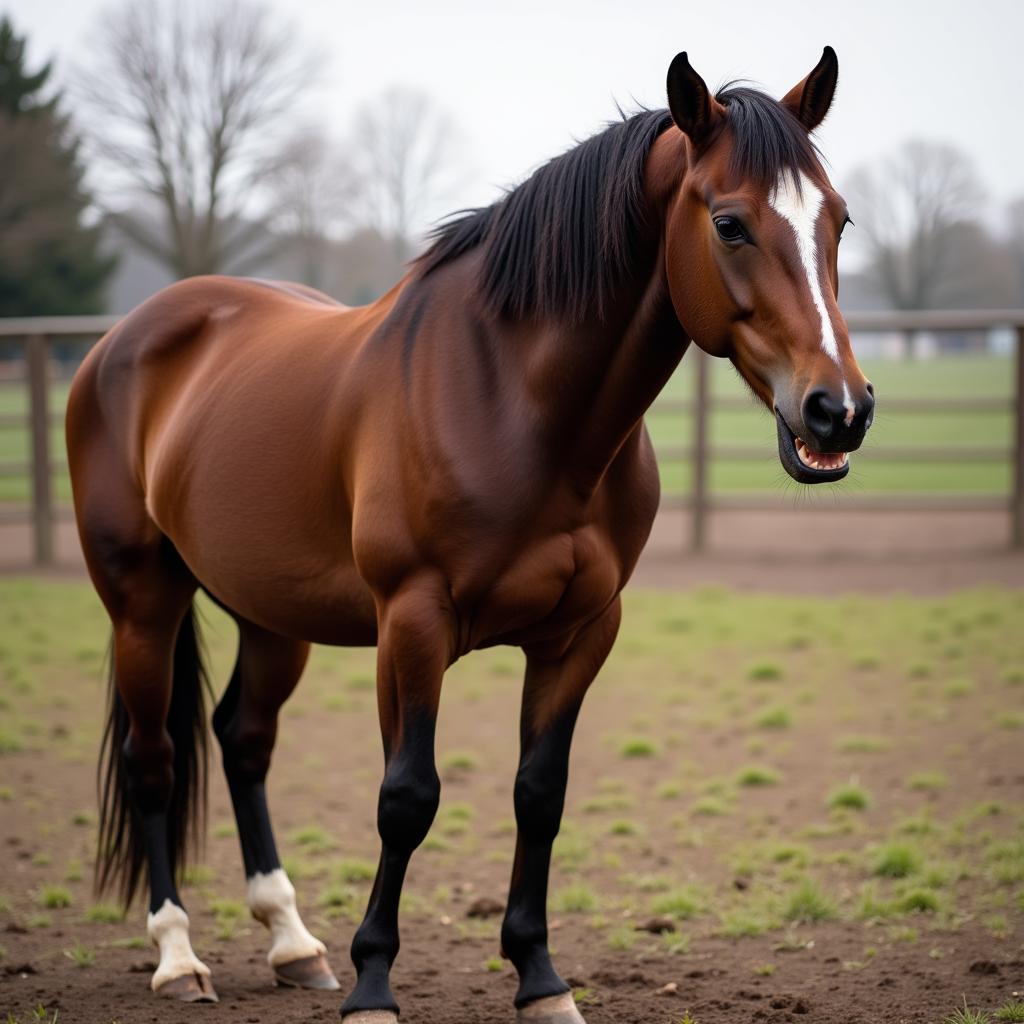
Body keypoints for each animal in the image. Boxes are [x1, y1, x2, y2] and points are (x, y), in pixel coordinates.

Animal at [66, 46, 872, 1015]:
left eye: (838, 219)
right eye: (730, 224)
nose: (838, 411)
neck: (516, 405)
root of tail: (125, 339)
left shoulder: (581, 632)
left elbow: (540, 794)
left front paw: (539, 978)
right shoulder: (412, 623)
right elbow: (407, 796)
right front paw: (375, 984)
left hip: (271, 614)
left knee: (243, 740)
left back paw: (293, 942)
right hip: (143, 605)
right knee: (153, 761)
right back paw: (179, 956)